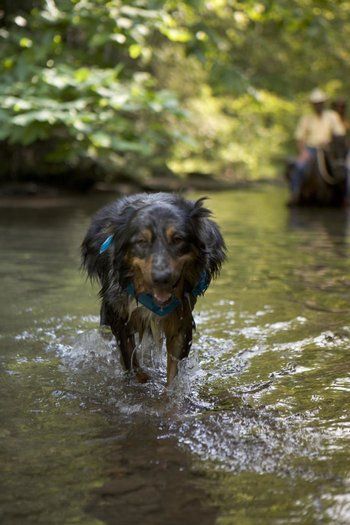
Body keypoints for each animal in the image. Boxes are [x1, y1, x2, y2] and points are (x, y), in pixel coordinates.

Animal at [81, 192, 226, 384]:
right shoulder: (119, 317)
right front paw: (140, 380)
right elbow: (132, 364)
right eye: (141, 241)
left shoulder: (181, 320)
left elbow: (173, 375)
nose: (161, 278)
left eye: (178, 239)